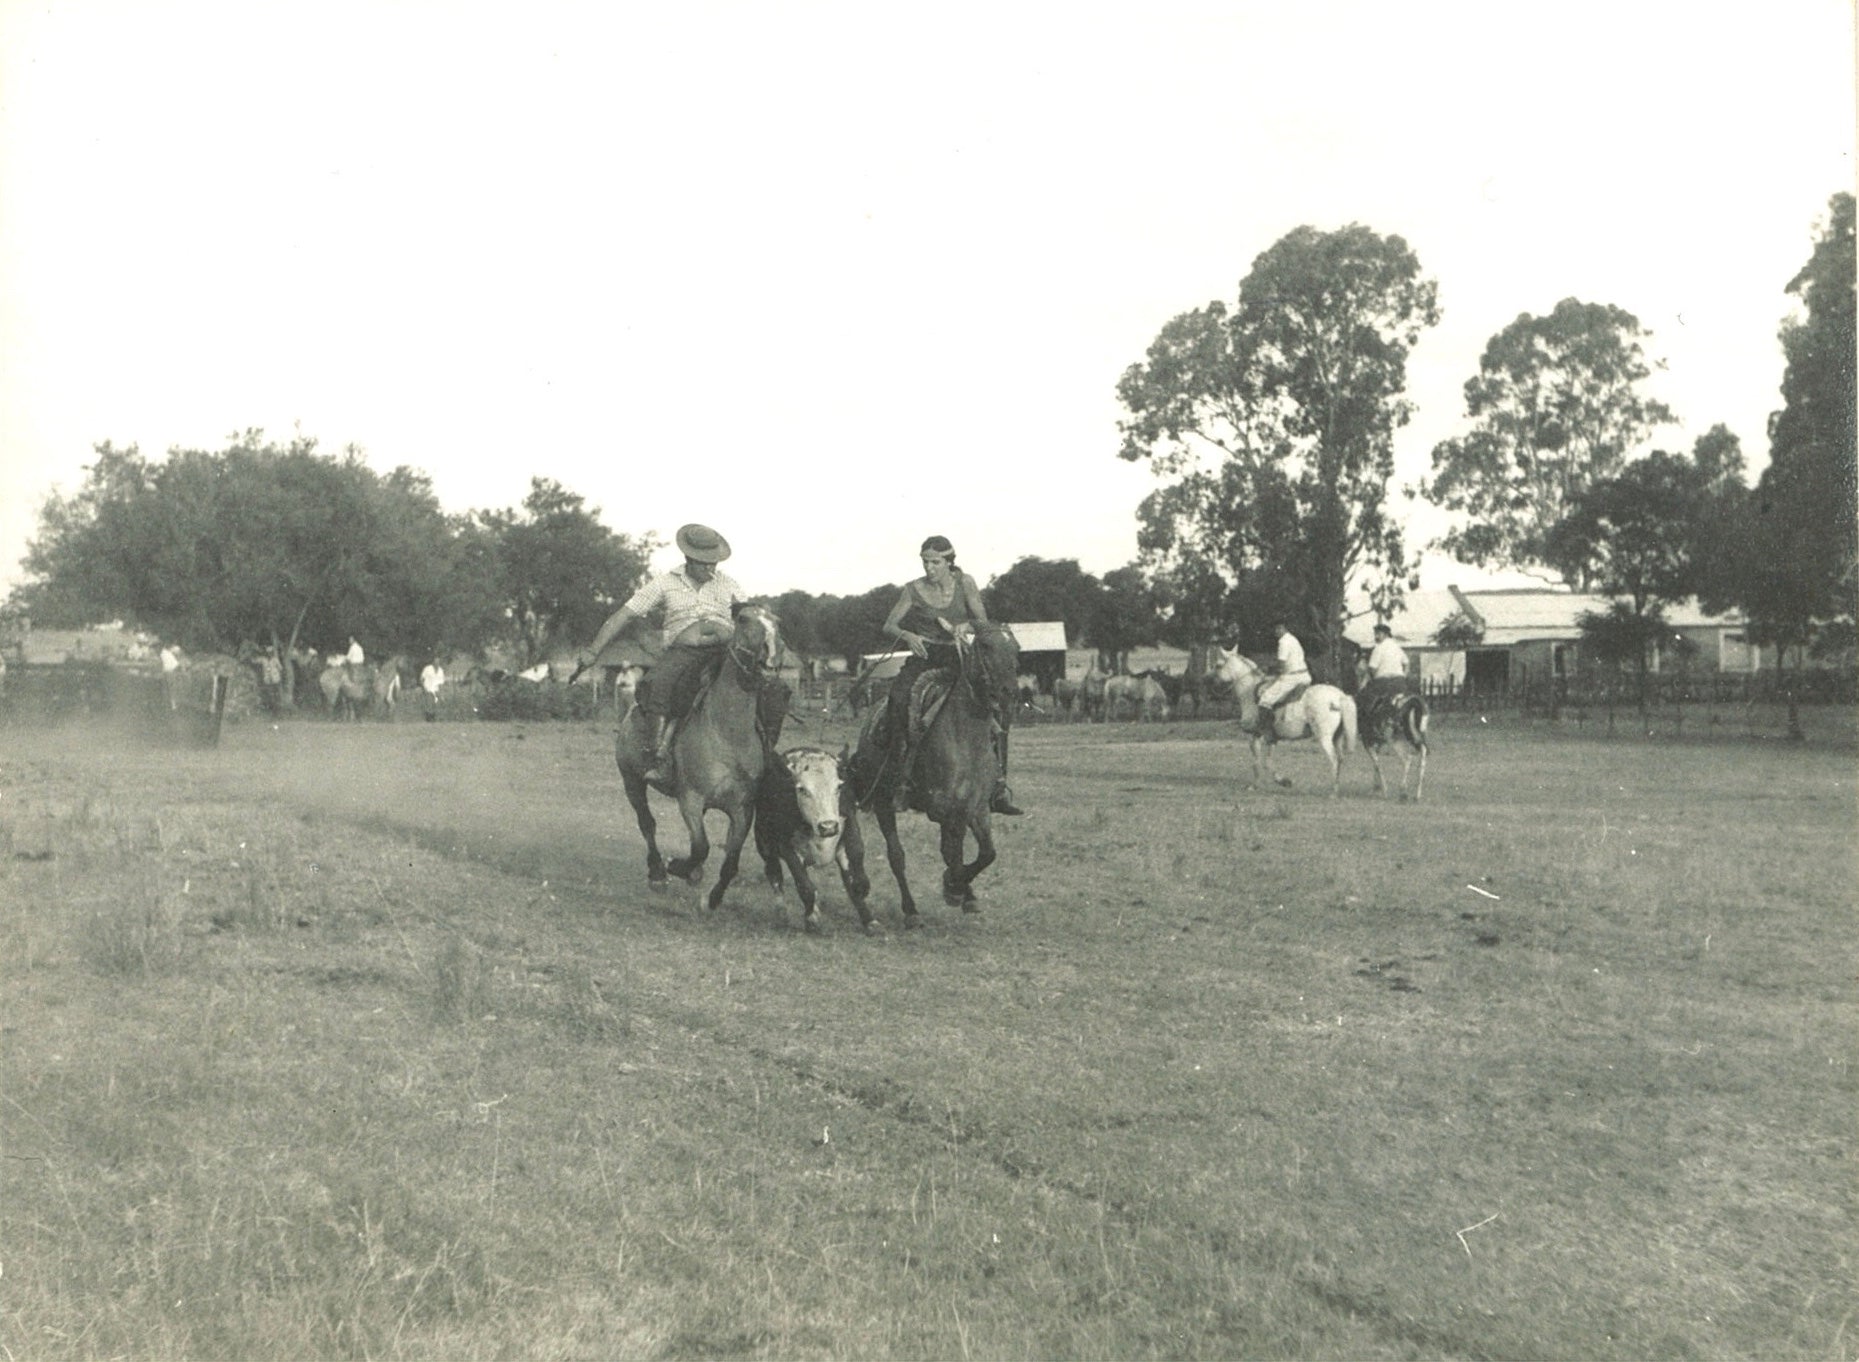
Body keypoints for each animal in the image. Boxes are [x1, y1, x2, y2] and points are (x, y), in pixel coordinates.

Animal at [613, 609, 780, 914]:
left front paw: (712, 899)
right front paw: (678, 867)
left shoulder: (742, 810)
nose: (772, 651)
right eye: (743, 619)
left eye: (777, 622)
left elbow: (731, 861)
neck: (728, 735)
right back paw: (658, 873)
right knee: (647, 824)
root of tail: (631, 711)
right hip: (632, 782)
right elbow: (701, 847)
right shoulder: (690, 799)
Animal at [751, 743, 873, 936]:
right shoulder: (785, 846)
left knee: (846, 878)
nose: (828, 826)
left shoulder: (848, 818)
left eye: (838, 787)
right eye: (802, 789)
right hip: (764, 844)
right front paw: (812, 919)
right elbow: (804, 885)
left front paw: (862, 886)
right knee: (774, 874)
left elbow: (857, 850)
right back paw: (784, 914)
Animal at [851, 620, 1018, 917]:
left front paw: (961, 888)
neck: (965, 738)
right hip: (883, 803)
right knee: (897, 856)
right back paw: (911, 911)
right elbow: (953, 851)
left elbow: (986, 853)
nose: (1009, 691)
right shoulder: (941, 808)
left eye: (1016, 648)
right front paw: (953, 887)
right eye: (986, 646)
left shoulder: (977, 808)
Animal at [1212, 646, 1360, 795]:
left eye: (1218, 665)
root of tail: (1339, 696)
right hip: (1337, 737)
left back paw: (1333, 793)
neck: (1250, 692)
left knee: (1333, 760)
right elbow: (1262, 762)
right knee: (1340, 759)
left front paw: (1271, 783)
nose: (1211, 687)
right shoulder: (1264, 737)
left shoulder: (1261, 736)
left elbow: (1262, 762)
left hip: (1323, 737)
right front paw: (1269, 783)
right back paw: (1337, 788)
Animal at [1360, 665, 1427, 802]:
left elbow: (1377, 764)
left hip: (1395, 740)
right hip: (1415, 737)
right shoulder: (1377, 743)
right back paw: (1416, 795)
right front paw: (1375, 788)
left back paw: (1403, 792)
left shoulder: (1368, 741)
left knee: (1407, 759)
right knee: (1422, 756)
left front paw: (1383, 790)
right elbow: (1376, 765)